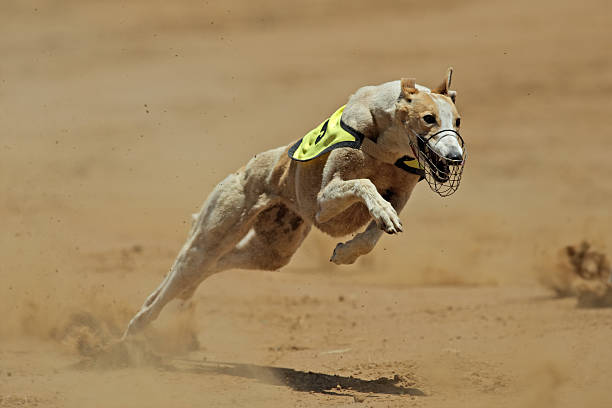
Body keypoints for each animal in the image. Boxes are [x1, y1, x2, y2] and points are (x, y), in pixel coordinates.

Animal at [125, 67, 468, 338]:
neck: (386, 142)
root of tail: (241, 171)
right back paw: (136, 326)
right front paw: (379, 211)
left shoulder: (400, 194)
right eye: (428, 119)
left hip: (272, 251)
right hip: (212, 236)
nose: (456, 157)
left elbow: (372, 236)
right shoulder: (323, 201)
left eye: (458, 121)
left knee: (212, 266)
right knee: (184, 270)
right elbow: (364, 184)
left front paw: (347, 252)